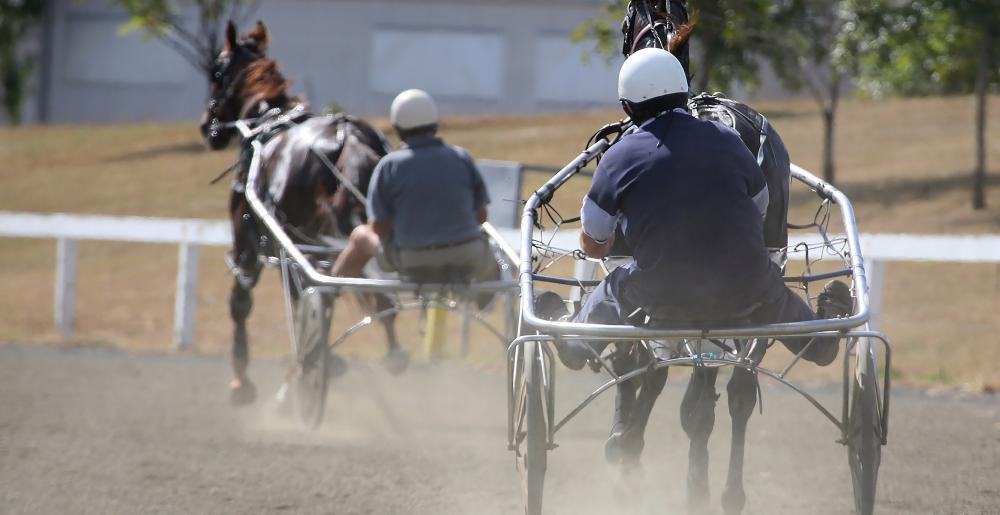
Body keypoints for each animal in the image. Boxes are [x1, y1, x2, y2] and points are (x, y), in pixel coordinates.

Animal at [201, 21, 408, 408]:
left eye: (216, 72)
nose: (208, 128)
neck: (268, 124)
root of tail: (347, 136)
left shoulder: (251, 239)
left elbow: (243, 301)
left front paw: (241, 381)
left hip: (300, 236)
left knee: (321, 292)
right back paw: (392, 351)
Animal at [596, 2, 792, 512]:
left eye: (624, 21)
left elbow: (638, 361)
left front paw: (624, 444)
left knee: (694, 398)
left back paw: (683, 481)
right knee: (738, 391)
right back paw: (728, 491)